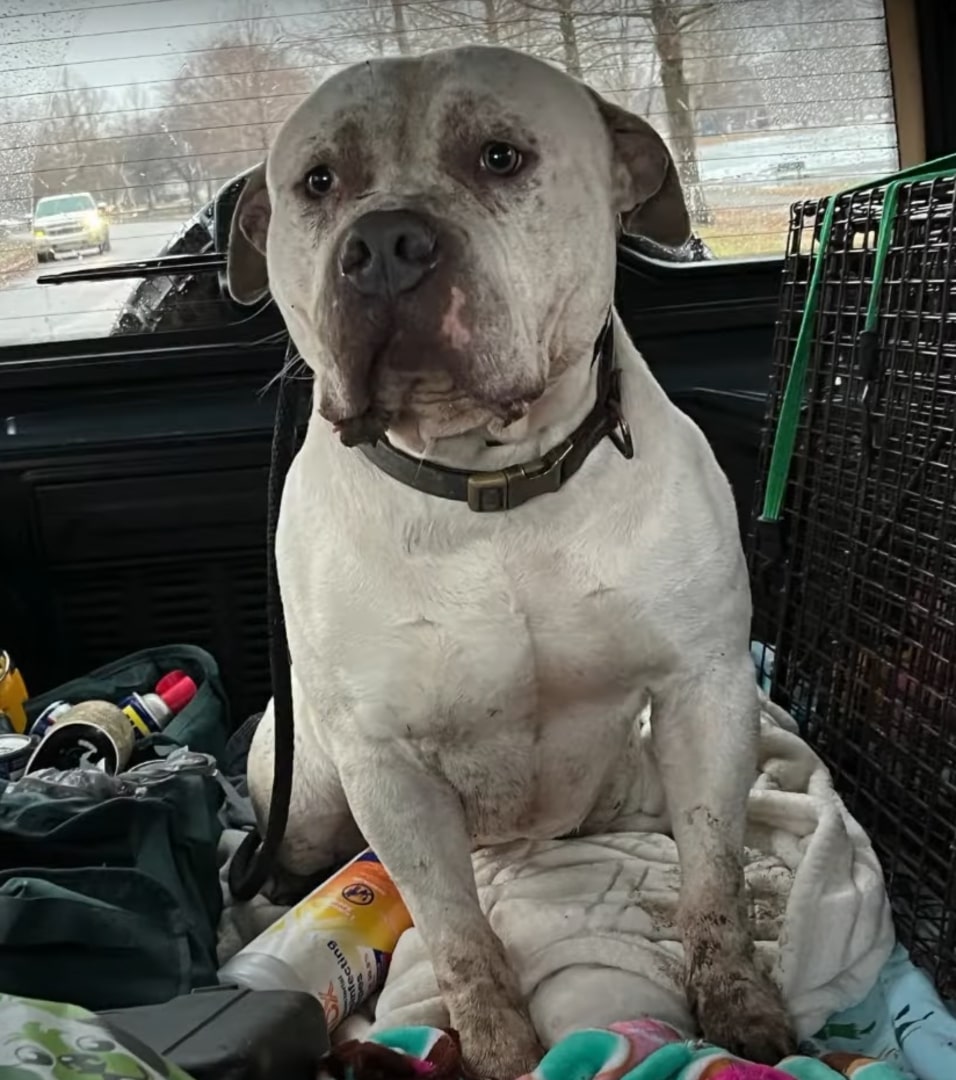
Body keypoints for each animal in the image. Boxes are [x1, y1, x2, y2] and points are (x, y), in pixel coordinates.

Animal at [227, 44, 795, 1080]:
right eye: (319, 182)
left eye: (500, 157)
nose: (385, 245)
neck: (490, 488)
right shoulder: (386, 767)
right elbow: (457, 929)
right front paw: (494, 1043)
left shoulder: (704, 692)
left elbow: (714, 874)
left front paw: (738, 1000)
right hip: (309, 793)